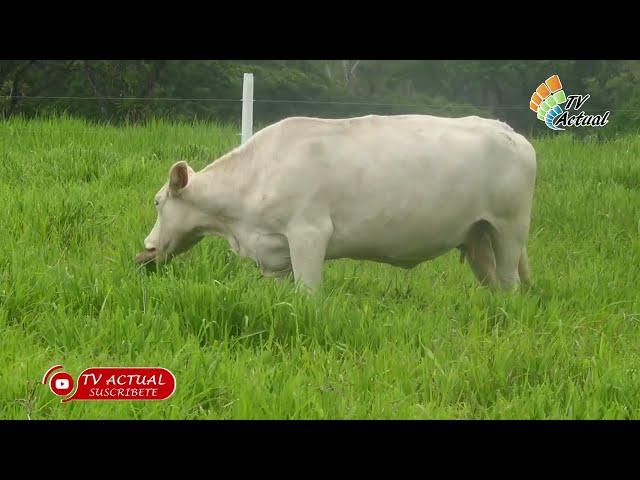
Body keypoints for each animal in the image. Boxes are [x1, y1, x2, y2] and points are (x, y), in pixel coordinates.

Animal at [138, 114, 536, 290]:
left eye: (157, 202)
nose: (146, 249)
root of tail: (509, 130)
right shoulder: (275, 253)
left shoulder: (309, 234)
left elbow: (309, 293)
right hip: (477, 234)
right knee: (493, 282)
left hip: (509, 228)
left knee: (510, 281)